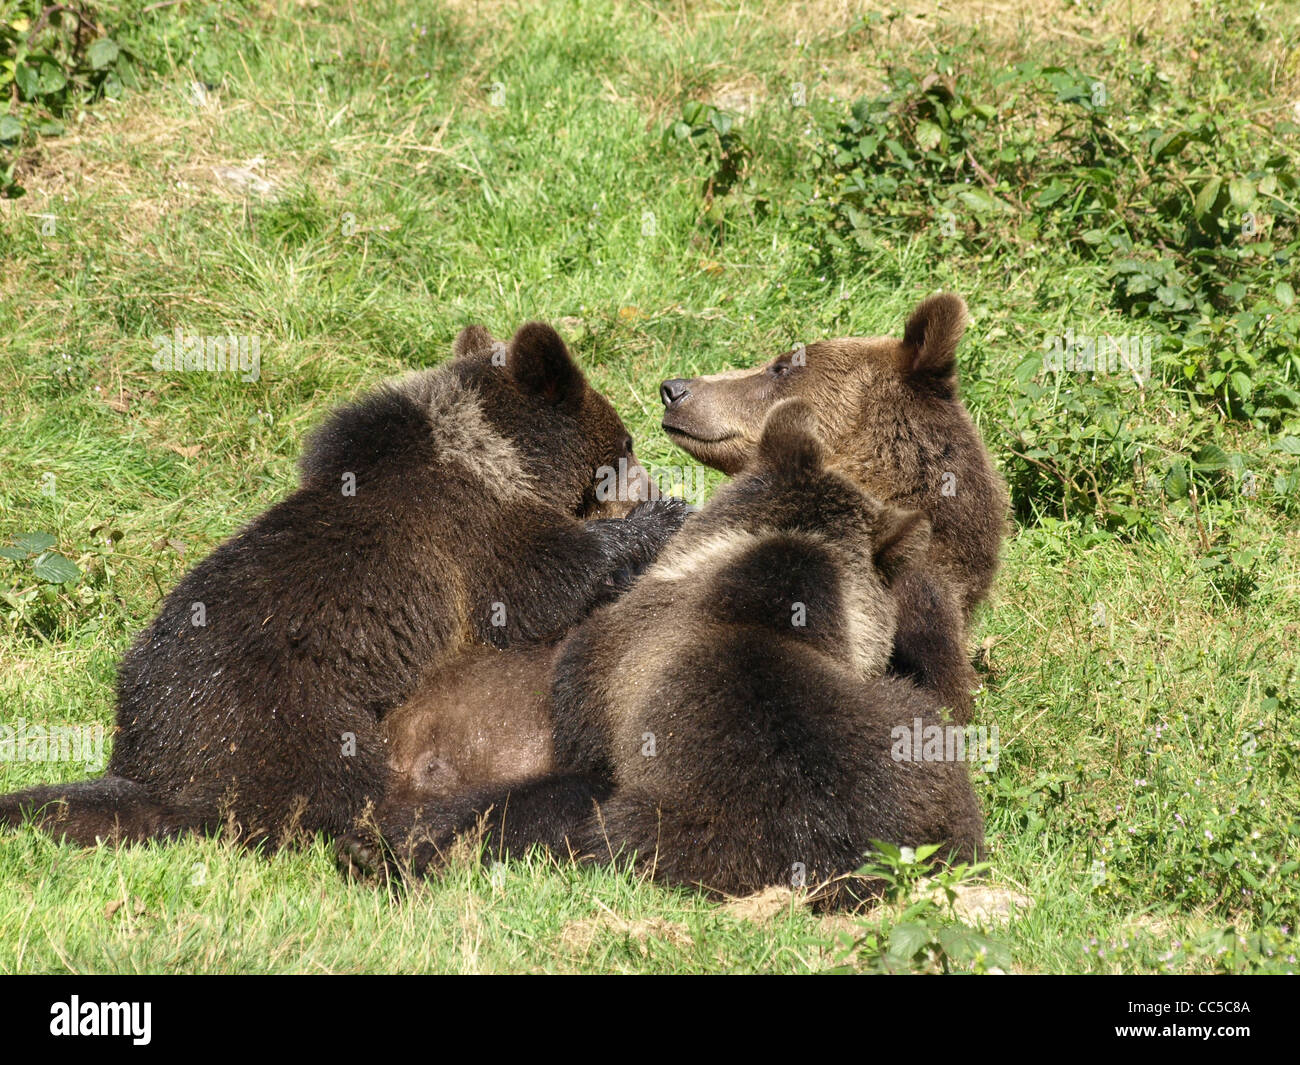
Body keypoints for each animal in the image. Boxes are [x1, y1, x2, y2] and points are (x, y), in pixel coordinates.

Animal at [0, 322, 689, 848]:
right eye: (624, 442)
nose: (652, 481)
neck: (491, 458)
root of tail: (156, 773)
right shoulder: (471, 537)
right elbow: (544, 585)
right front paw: (656, 523)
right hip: (299, 714)